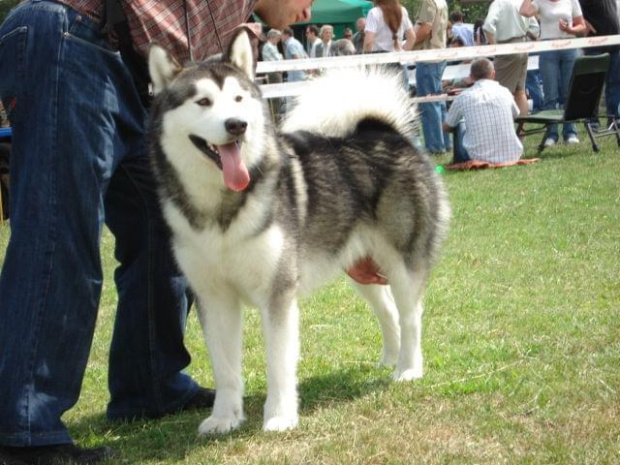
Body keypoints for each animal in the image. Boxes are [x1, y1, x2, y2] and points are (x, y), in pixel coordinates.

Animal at [150, 29, 450, 436]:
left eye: (239, 99)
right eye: (203, 101)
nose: (237, 125)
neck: (222, 206)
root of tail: (384, 130)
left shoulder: (277, 293)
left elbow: (278, 363)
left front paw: (279, 416)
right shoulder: (213, 297)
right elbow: (225, 369)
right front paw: (224, 417)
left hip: (404, 261)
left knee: (410, 315)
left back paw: (408, 369)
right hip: (360, 267)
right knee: (387, 310)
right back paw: (390, 358)